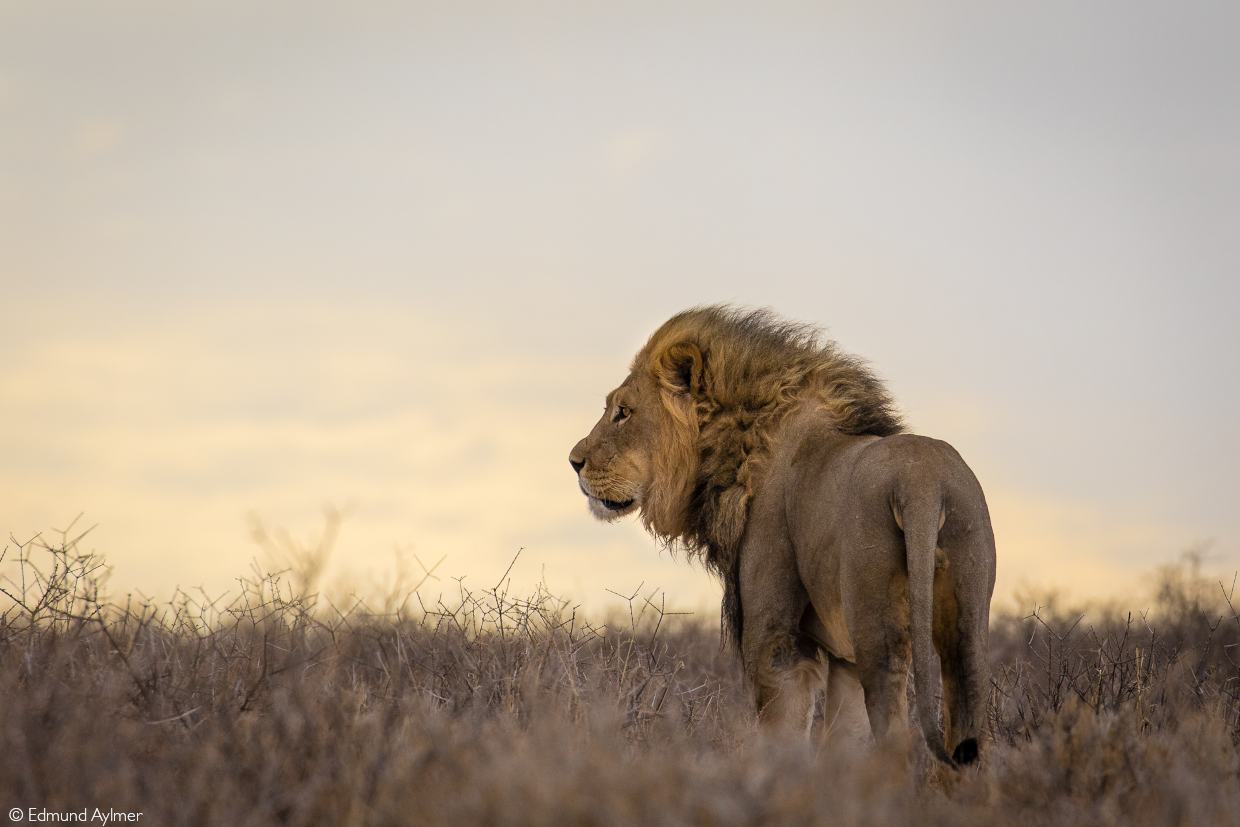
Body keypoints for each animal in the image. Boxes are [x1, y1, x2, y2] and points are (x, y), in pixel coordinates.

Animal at [570, 307, 996, 768]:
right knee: (968, 721)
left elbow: (782, 733)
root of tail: (924, 483)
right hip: (967, 616)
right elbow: (844, 736)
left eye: (623, 412)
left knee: (896, 730)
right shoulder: (841, 656)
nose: (574, 461)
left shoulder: (774, 638)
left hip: (876, 625)